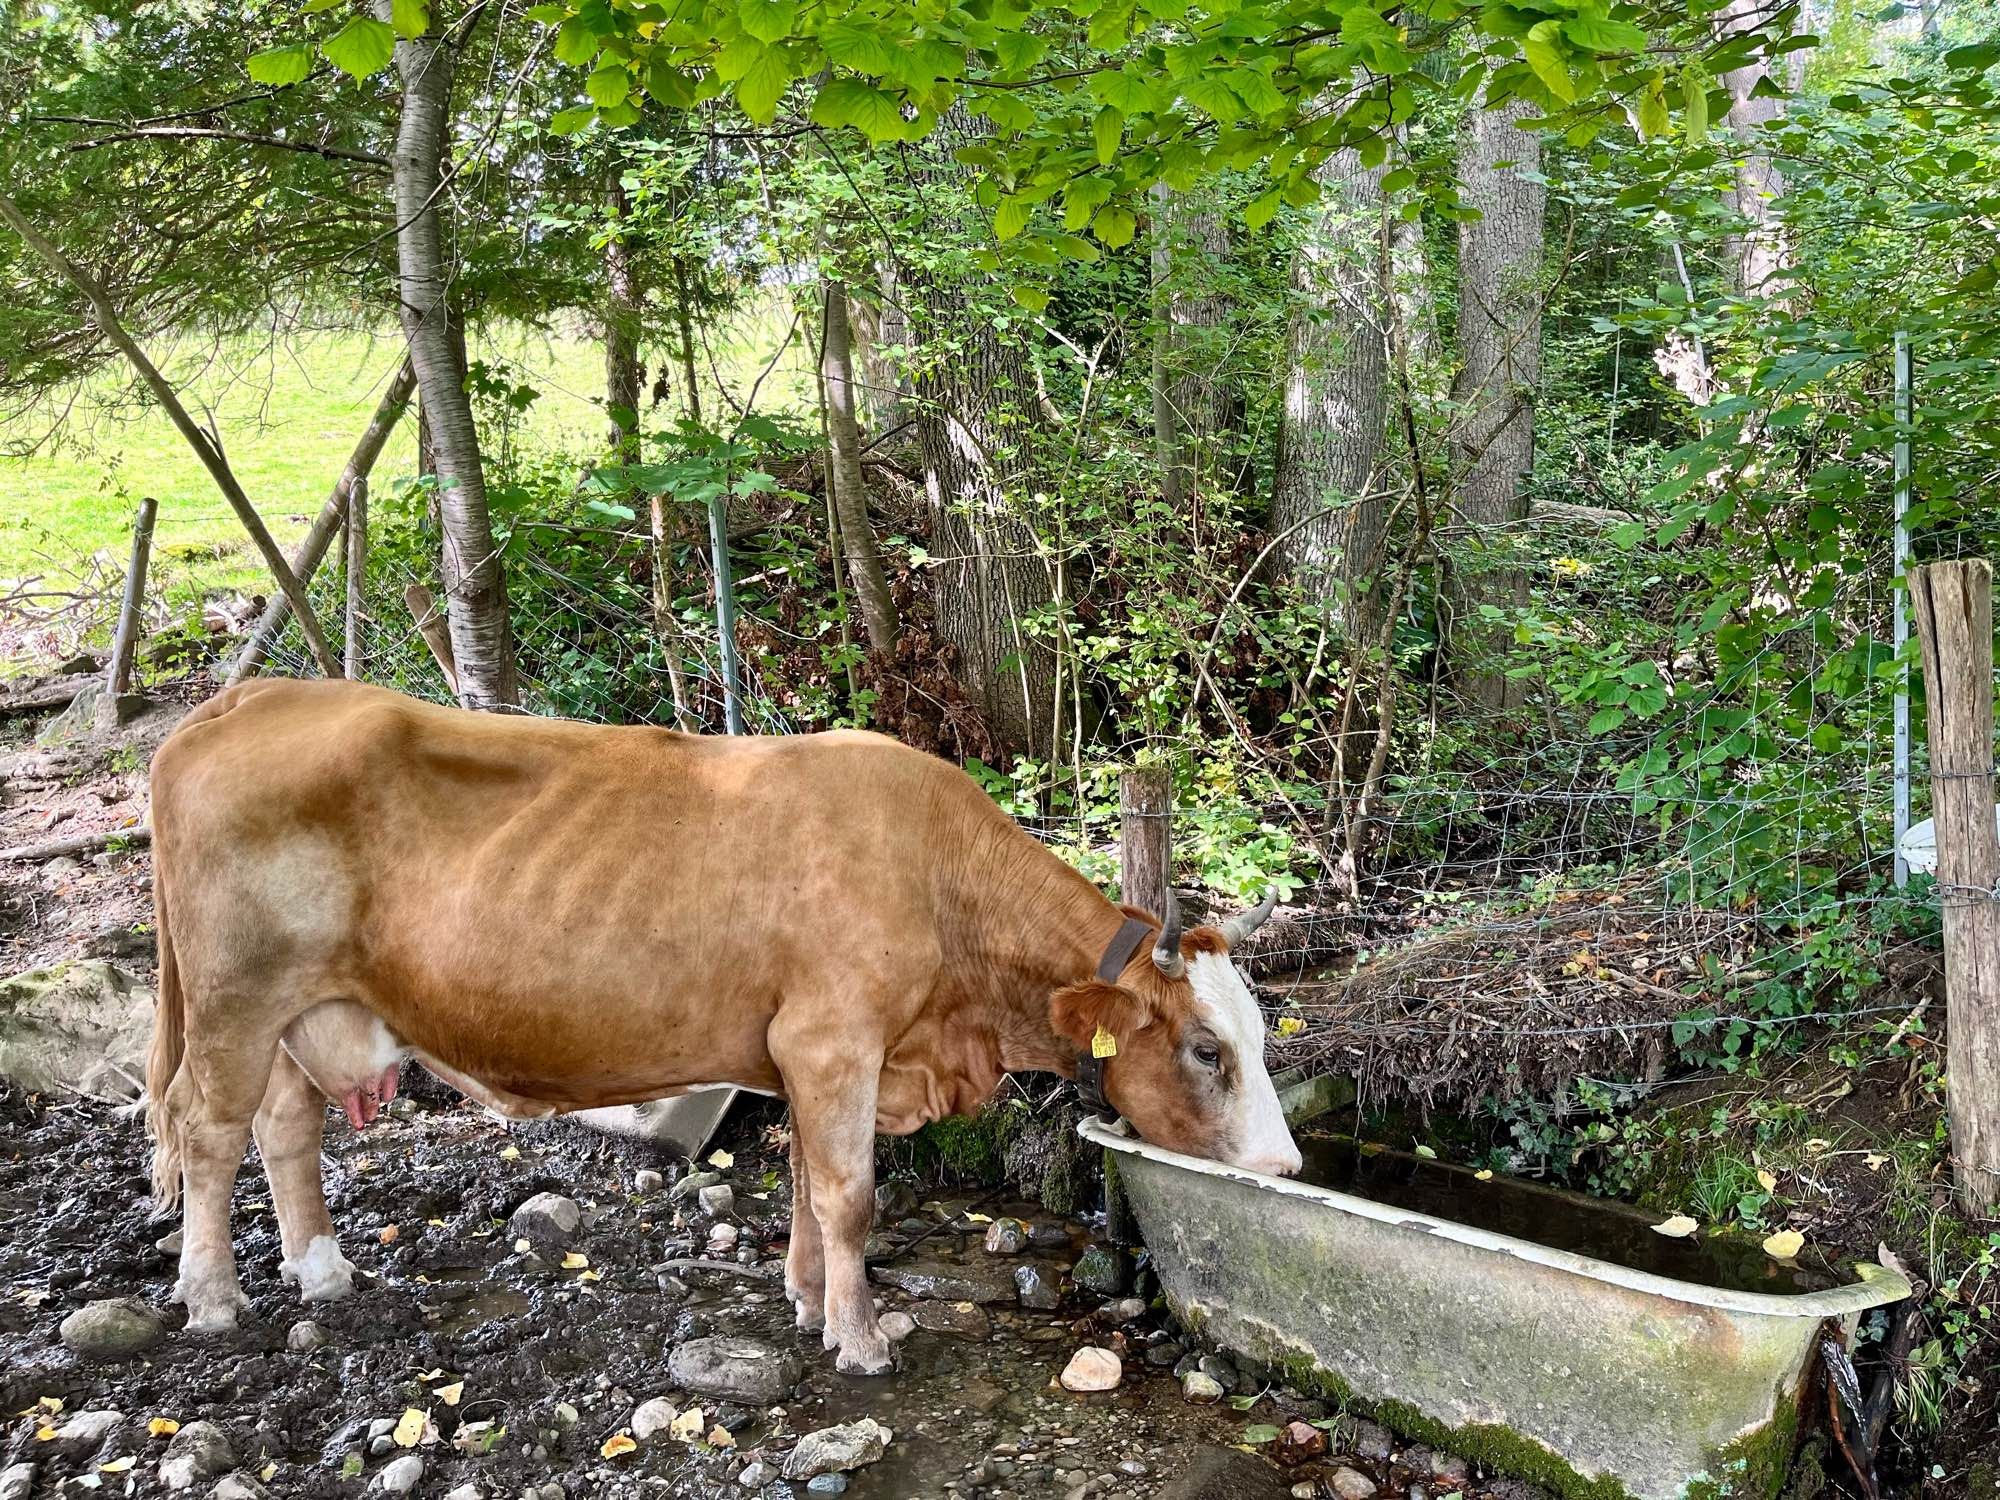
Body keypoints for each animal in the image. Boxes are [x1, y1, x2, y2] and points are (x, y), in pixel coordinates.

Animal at [141, 680, 1296, 1376]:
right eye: (1206, 1050)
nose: (1286, 1167)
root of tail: (251, 693)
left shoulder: (795, 1054)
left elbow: (804, 1183)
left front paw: (805, 1300)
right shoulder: (835, 1041)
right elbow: (850, 1196)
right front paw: (859, 1338)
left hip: (298, 1009)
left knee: (282, 1126)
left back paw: (321, 1270)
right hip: (238, 997)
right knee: (206, 1128)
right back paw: (212, 1295)